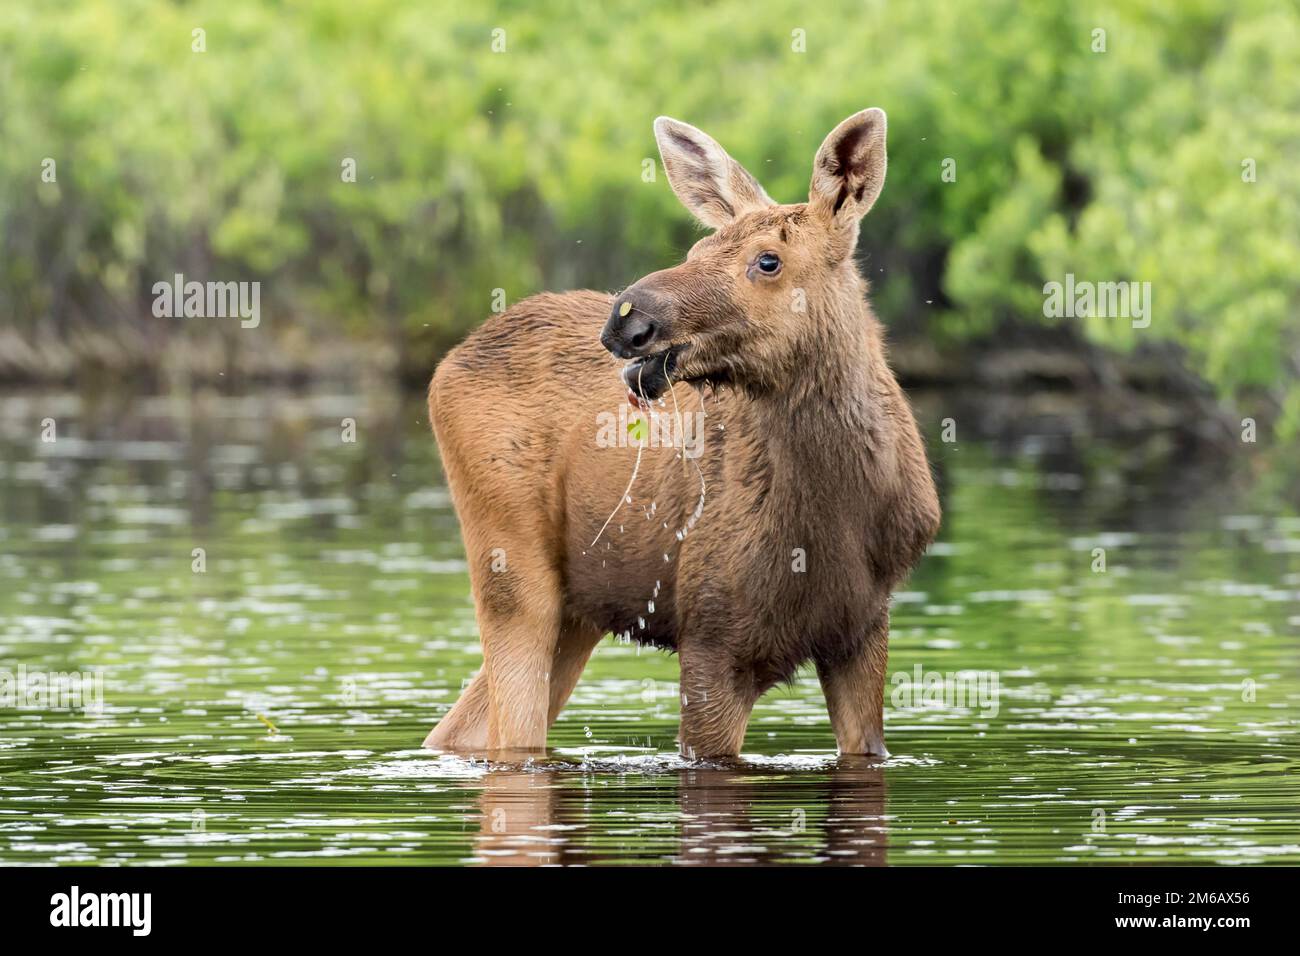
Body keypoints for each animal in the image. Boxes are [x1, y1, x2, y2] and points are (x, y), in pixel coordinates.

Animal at [423, 108, 935, 759]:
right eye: (697, 247)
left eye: (768, 260)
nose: (626, 317)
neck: (835, 520)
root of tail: (446, 364)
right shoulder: (711, 630)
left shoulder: (863, 627)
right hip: (511, 568)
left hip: (580, 607)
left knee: (457, 730)